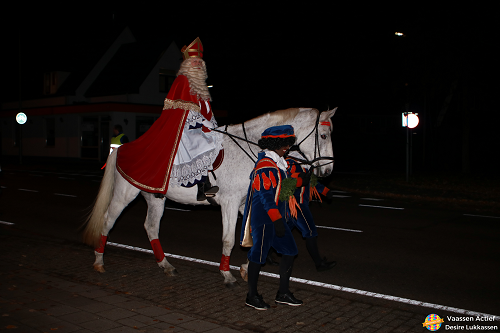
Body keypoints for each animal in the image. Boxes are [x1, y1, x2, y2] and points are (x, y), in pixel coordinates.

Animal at [84, 106, 338, 286]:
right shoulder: (229, 203)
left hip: (155, 197)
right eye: (324, 135)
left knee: (151, 227)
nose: (327, 172)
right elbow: (228, 239)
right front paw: (227, 274)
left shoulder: (244, 203)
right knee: (107, 221)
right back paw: (98, 261)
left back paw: (166, 265)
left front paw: (246, 268)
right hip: (124, 194)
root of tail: (121, 148)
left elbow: (258, 235)